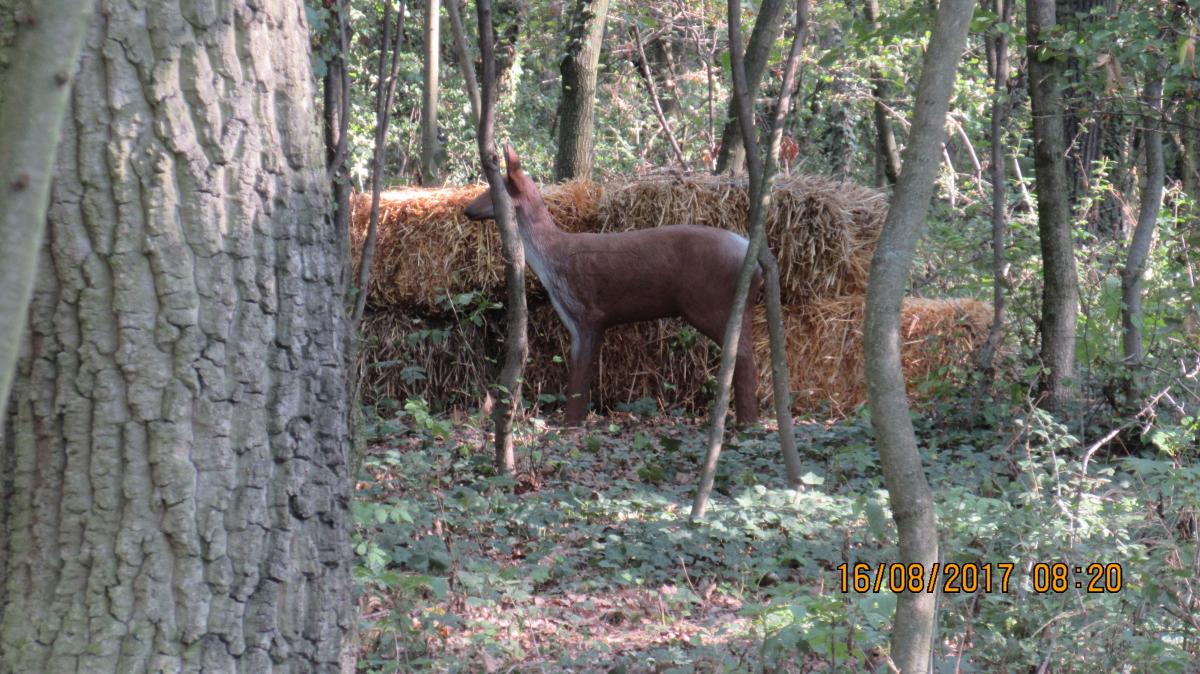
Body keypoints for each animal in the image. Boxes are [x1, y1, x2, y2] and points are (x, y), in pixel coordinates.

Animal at [458, 144, 758, 424]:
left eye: (495, 189)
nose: (466, 210)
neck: (554, 259)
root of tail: (753, 259)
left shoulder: (588, 312)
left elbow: (579, 379)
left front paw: (570, 425)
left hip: (708, 302)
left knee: (742, 353)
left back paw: (746, 423)